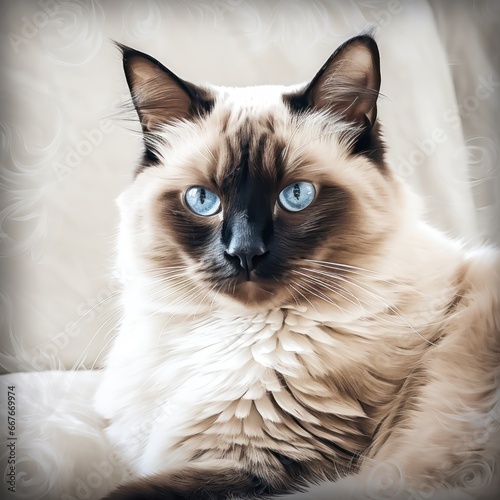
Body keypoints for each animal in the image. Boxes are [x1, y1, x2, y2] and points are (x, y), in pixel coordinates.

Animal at [94, 34, 500, 496]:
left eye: (296, 196)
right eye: (203, 200)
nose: (244, 252)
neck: (227, 334)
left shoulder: (270, 469)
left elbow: (120, 491)